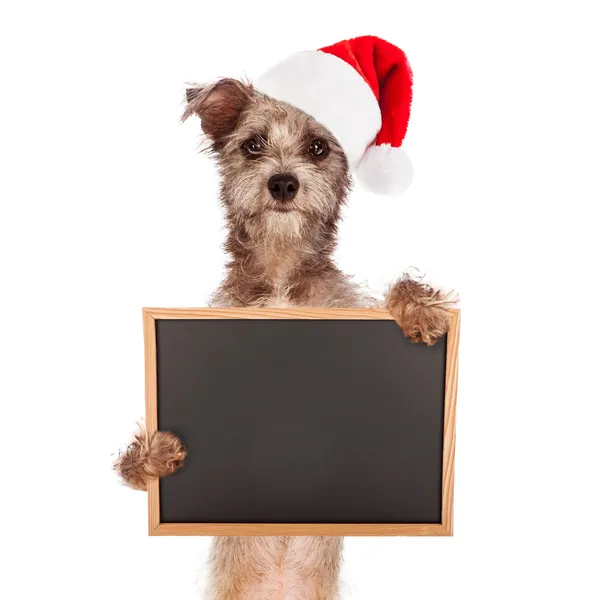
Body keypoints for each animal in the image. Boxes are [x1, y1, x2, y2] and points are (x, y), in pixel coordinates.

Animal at [115, 77, 454, 596]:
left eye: (318, 148)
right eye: (253, 145)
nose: (283, 183)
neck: (280, 266)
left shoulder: (346, 309)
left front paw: (418, 309)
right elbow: (128, 468)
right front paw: (153, 454)